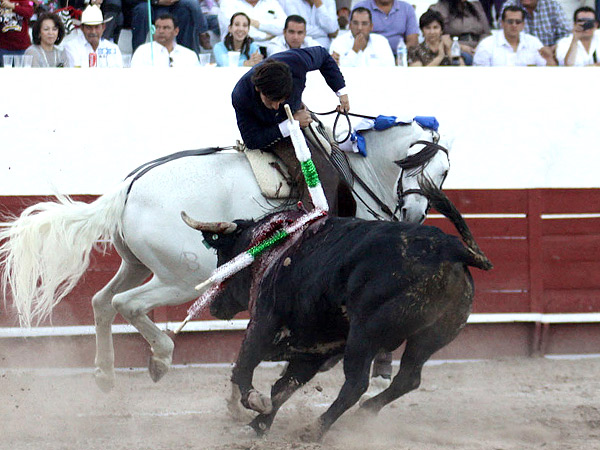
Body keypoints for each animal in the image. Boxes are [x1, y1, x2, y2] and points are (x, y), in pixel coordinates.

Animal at [0, 121, 450, 392]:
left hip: (136, 264)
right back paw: (160, 358)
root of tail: (127, 188)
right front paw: (379, 367)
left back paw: (105, 373)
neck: (360, 173)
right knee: (127, 304)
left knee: (101, 302)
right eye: (438, 171)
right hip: (183, 277)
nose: (414, 214)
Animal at [184, 180, 492, 440]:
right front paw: (258, 425)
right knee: (408, 378)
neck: (272, 248)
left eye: (224, 255)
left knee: (356, 384)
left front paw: (255, 406)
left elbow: (243, 368)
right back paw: (361, 415)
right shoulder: (314, 350)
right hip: (431, 336)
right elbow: (283, 388)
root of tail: (451, 248)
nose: (214, 306)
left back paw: (315, 429)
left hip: (364, 334)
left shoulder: (262, 325)